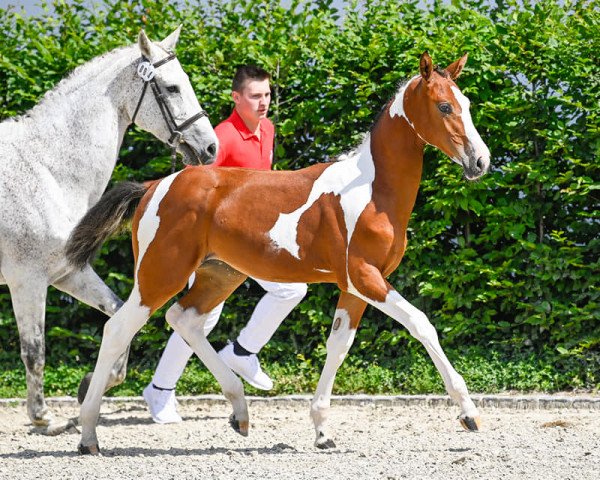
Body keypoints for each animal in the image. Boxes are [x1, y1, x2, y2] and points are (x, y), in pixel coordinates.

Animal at [69, 52, 492, 454]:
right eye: (444, 106)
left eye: (467, 103)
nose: (480, 161)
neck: (372, 190)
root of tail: (154, 186)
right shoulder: (365, 276)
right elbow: (422, 324)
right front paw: (469, 414)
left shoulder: (355, 286)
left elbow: (338, 345)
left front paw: (322, 431)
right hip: (159, 274)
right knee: (118, 328)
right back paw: (89, 435)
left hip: (220, 274)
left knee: (184, 319)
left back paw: (240, 412)